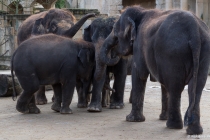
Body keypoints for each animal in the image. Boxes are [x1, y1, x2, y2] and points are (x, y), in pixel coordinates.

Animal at [96, 6, 210, 135]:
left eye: (115, 31)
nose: (114, 54)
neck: (141, 11)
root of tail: (194, 30)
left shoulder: (139, 44)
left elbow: (139, 73)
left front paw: (131, 119)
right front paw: (161, 118)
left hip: (172, 52)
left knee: (175, 87)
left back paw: (173, 126)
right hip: (203, 52)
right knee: (196, 88)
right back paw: (194, 131)